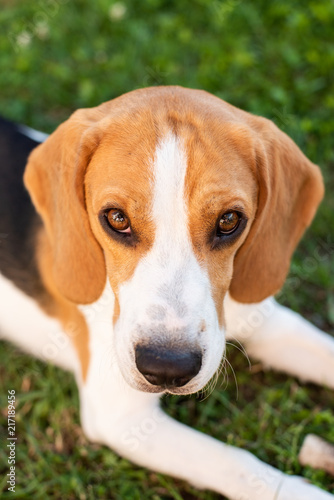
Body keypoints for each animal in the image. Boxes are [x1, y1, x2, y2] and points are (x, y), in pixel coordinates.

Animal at [0, 88, 334, 498]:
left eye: (229, 221)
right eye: (116, 218)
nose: (167, 369)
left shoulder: (268, 322)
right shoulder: (123, 419)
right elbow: (234, 463)